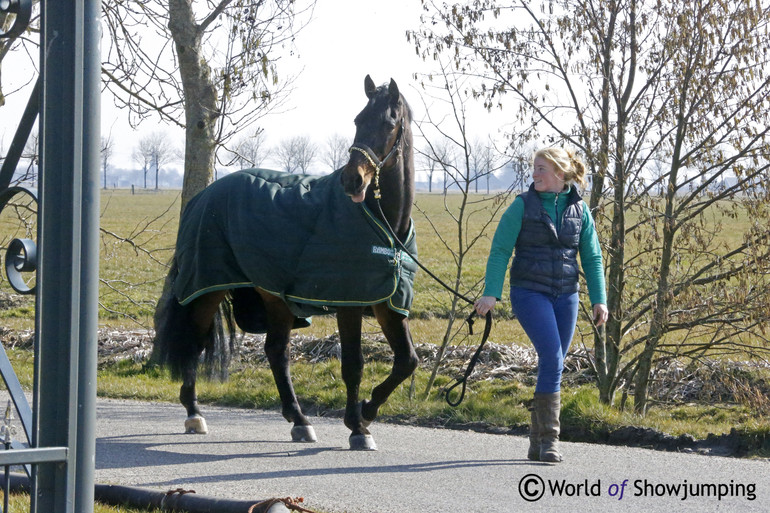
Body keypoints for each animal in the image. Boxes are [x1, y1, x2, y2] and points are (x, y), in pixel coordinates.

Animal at [150, 75, 414, 448]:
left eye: (388, 123)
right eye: (358, 120)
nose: (352, 180)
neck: (383, 223)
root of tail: (203, 197)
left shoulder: (388, 303)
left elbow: (407, 362)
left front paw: (367, 410)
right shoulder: (348, 303)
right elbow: (353, 364)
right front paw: (357, 425)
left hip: (272, 296)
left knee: (276, 351)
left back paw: (299, 419)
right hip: (207, 289)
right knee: (195, 343)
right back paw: (194, 412)